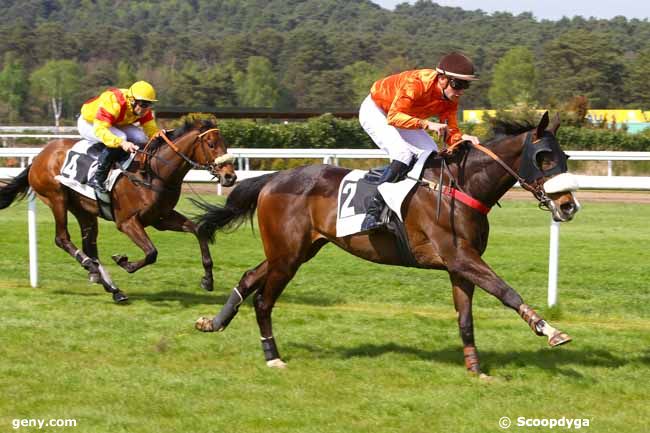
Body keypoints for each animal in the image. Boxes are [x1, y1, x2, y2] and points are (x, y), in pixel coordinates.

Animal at [0, 118, 237, 300]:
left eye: (224, 143)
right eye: (211, 144)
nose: (230, 176)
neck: (153, 172)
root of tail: (38, 157)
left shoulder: (161, 218)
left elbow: (198, 230)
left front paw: (208, 279)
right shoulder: (127, 222)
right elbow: (151, 253)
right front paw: (125, 262)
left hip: (84, 210)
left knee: (90, 245)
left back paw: (111, 287)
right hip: (56, 198)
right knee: (62, 238)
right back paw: (92, 268)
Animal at [191, 111, 576, 374]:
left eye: (565, 157)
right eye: (543, 157)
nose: (569, 206)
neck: (462, 186)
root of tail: (273, 179)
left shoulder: (459, 266)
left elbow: (466, 318)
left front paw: (475, 368)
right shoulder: (460, 256)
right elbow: (505, 290)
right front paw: (549, 329)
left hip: (296, 251)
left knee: (248, 278)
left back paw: (213, 322)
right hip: (287, 255)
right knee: (263, 301)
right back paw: (272, 356)